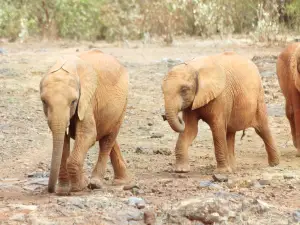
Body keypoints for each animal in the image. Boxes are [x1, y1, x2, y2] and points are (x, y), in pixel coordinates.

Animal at [39, 49, 129, 195]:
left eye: (73, 101)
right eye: (44, 102)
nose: (51, 190)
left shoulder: (87, 99)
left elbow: (88, 134)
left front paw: (79, 187)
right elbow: (63, 140)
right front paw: (63, 190)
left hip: (123, 103)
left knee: (107, 140)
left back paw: (96, 184)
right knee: (106, 134)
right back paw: (123, 182)